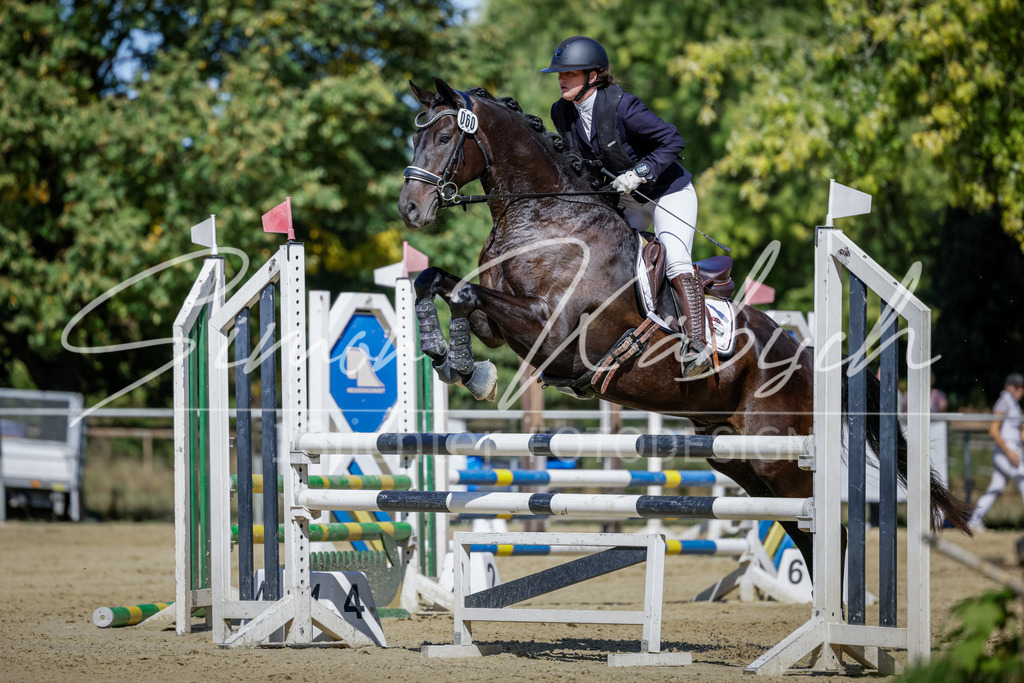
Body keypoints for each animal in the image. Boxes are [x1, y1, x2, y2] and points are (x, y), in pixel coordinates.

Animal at [397, 77, 971, 572]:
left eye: (445, 137)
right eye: (414, 135)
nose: (410, 209)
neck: (544, 217)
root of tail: (810, 359)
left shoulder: (553, 333)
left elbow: (466, 292)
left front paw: (464, 366)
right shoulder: (500, 325)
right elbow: (438, 283)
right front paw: (457, 362)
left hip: (780, 461)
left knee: (829, 534)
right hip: (740, 461)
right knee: (800, 532)